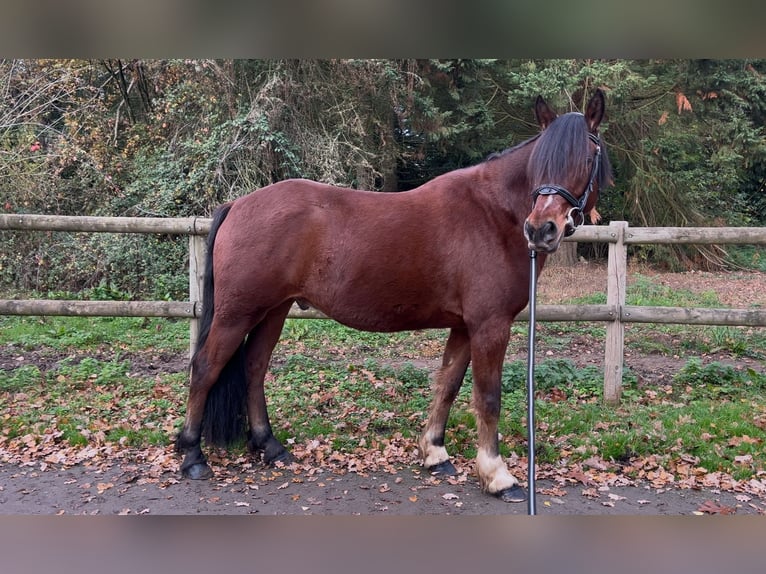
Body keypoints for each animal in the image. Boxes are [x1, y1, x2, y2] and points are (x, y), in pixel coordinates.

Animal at [175, 89, 612, 502]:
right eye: (541, 161)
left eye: (587, 158)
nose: (541, 229)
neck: (493, 214)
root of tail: (237, 204)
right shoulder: (490, 325)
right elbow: (487, 397)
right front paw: (497, 475)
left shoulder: (464, 326)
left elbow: (447, 385)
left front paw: (435, 454)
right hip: (237, 314)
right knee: (205, 368)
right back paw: (193, 456)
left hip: (274, 310)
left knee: (254, 367)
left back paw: (270, 447)